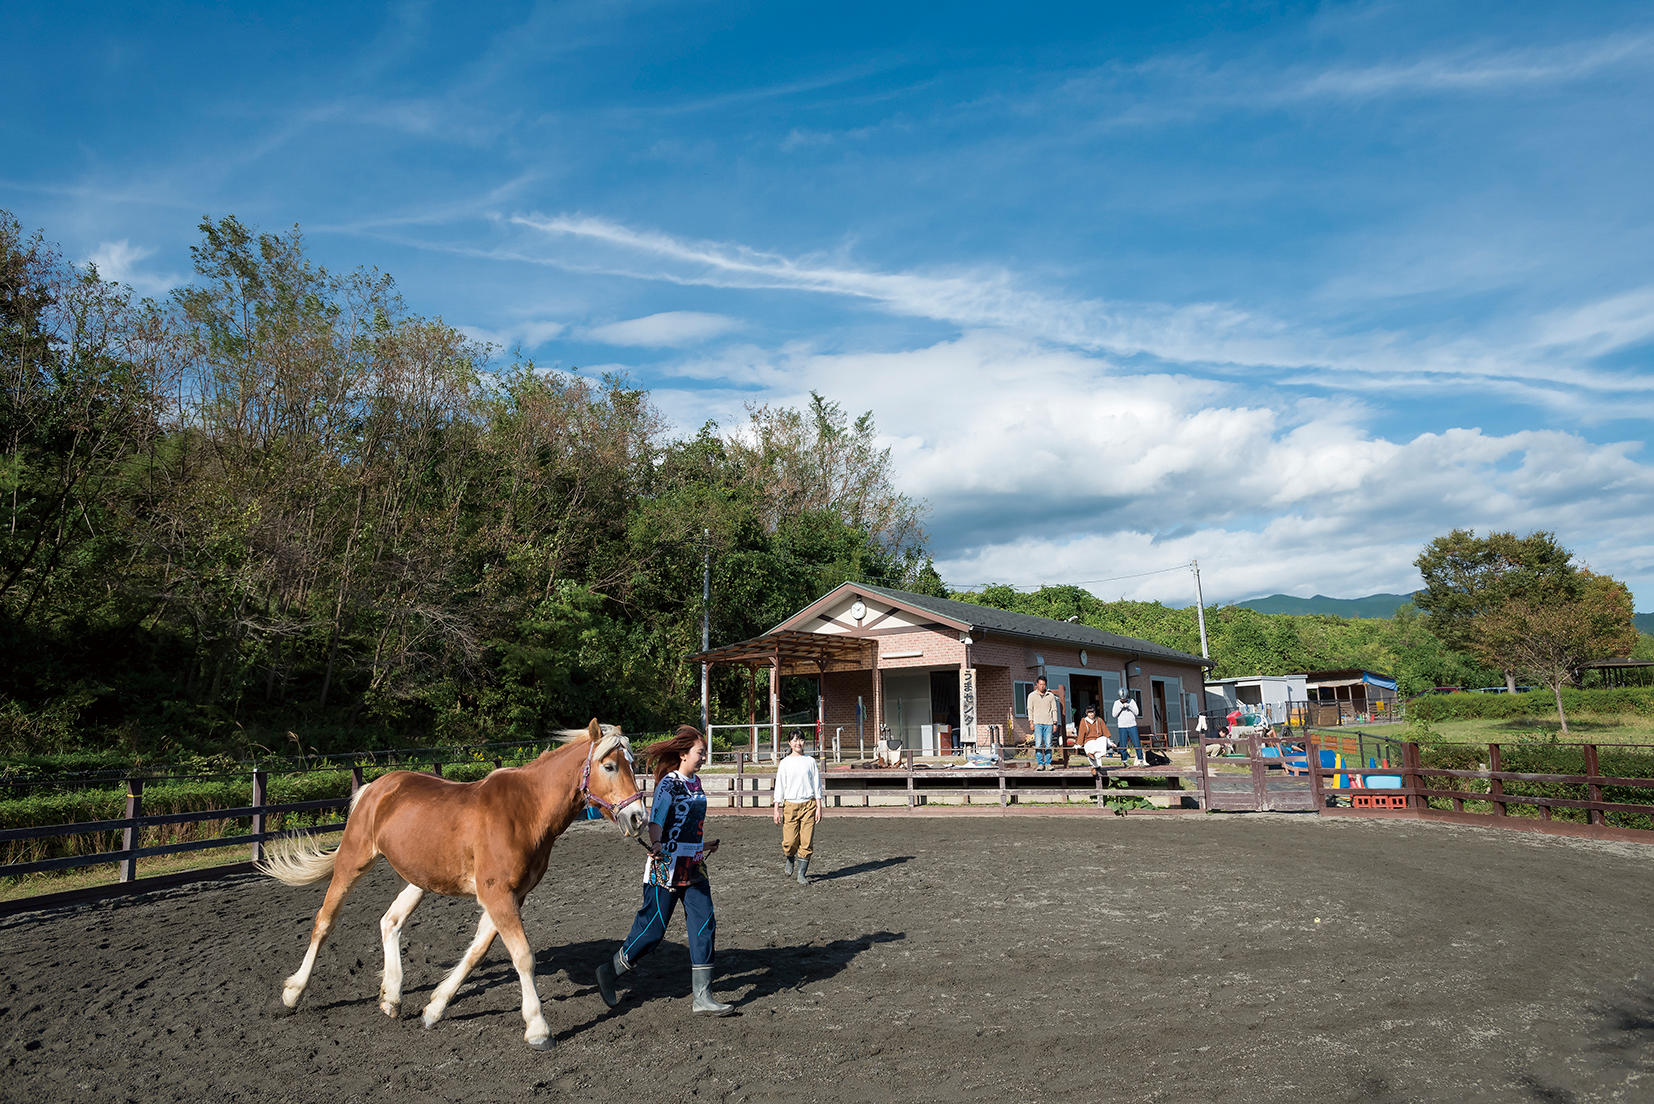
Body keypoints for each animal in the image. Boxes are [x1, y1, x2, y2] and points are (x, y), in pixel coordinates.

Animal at [258, 721, 645, 1052]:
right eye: (609, 765)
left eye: (632, 763)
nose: (637, 816)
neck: (526, 811)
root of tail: (375, 787)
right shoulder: (497, 895)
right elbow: (523, 956)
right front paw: (538, 1029)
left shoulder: (511, 897)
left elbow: (476, 952)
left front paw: (434, 1008)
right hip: (352, 862)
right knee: (325, 921)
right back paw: (294, 993)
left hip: (419, 880)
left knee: (390, 922)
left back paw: (391, 997)